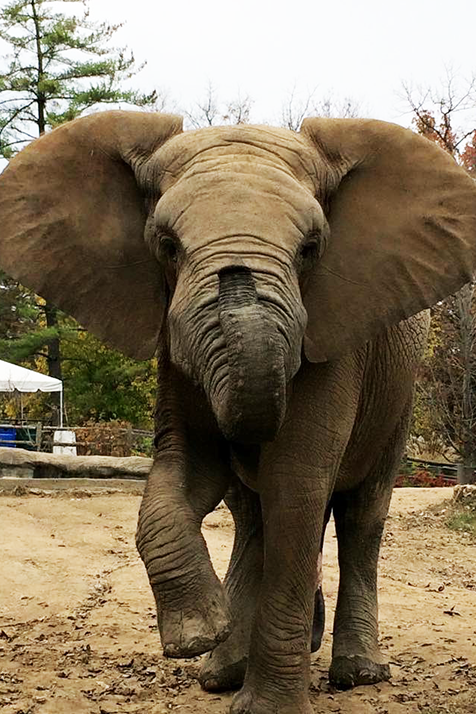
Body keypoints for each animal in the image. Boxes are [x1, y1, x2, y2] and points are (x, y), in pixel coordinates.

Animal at [0, 111, 476, 712]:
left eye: (311, 247)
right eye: (167, 245)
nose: (236, 276)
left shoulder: (335, 344)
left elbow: (295, 482)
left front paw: (268, 706)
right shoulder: (174, 350)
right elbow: (185, 469)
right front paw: (198, 635)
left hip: (398, 395)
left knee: (360, 513)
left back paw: (357, 673)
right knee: (252, 514)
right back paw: (221, 670)